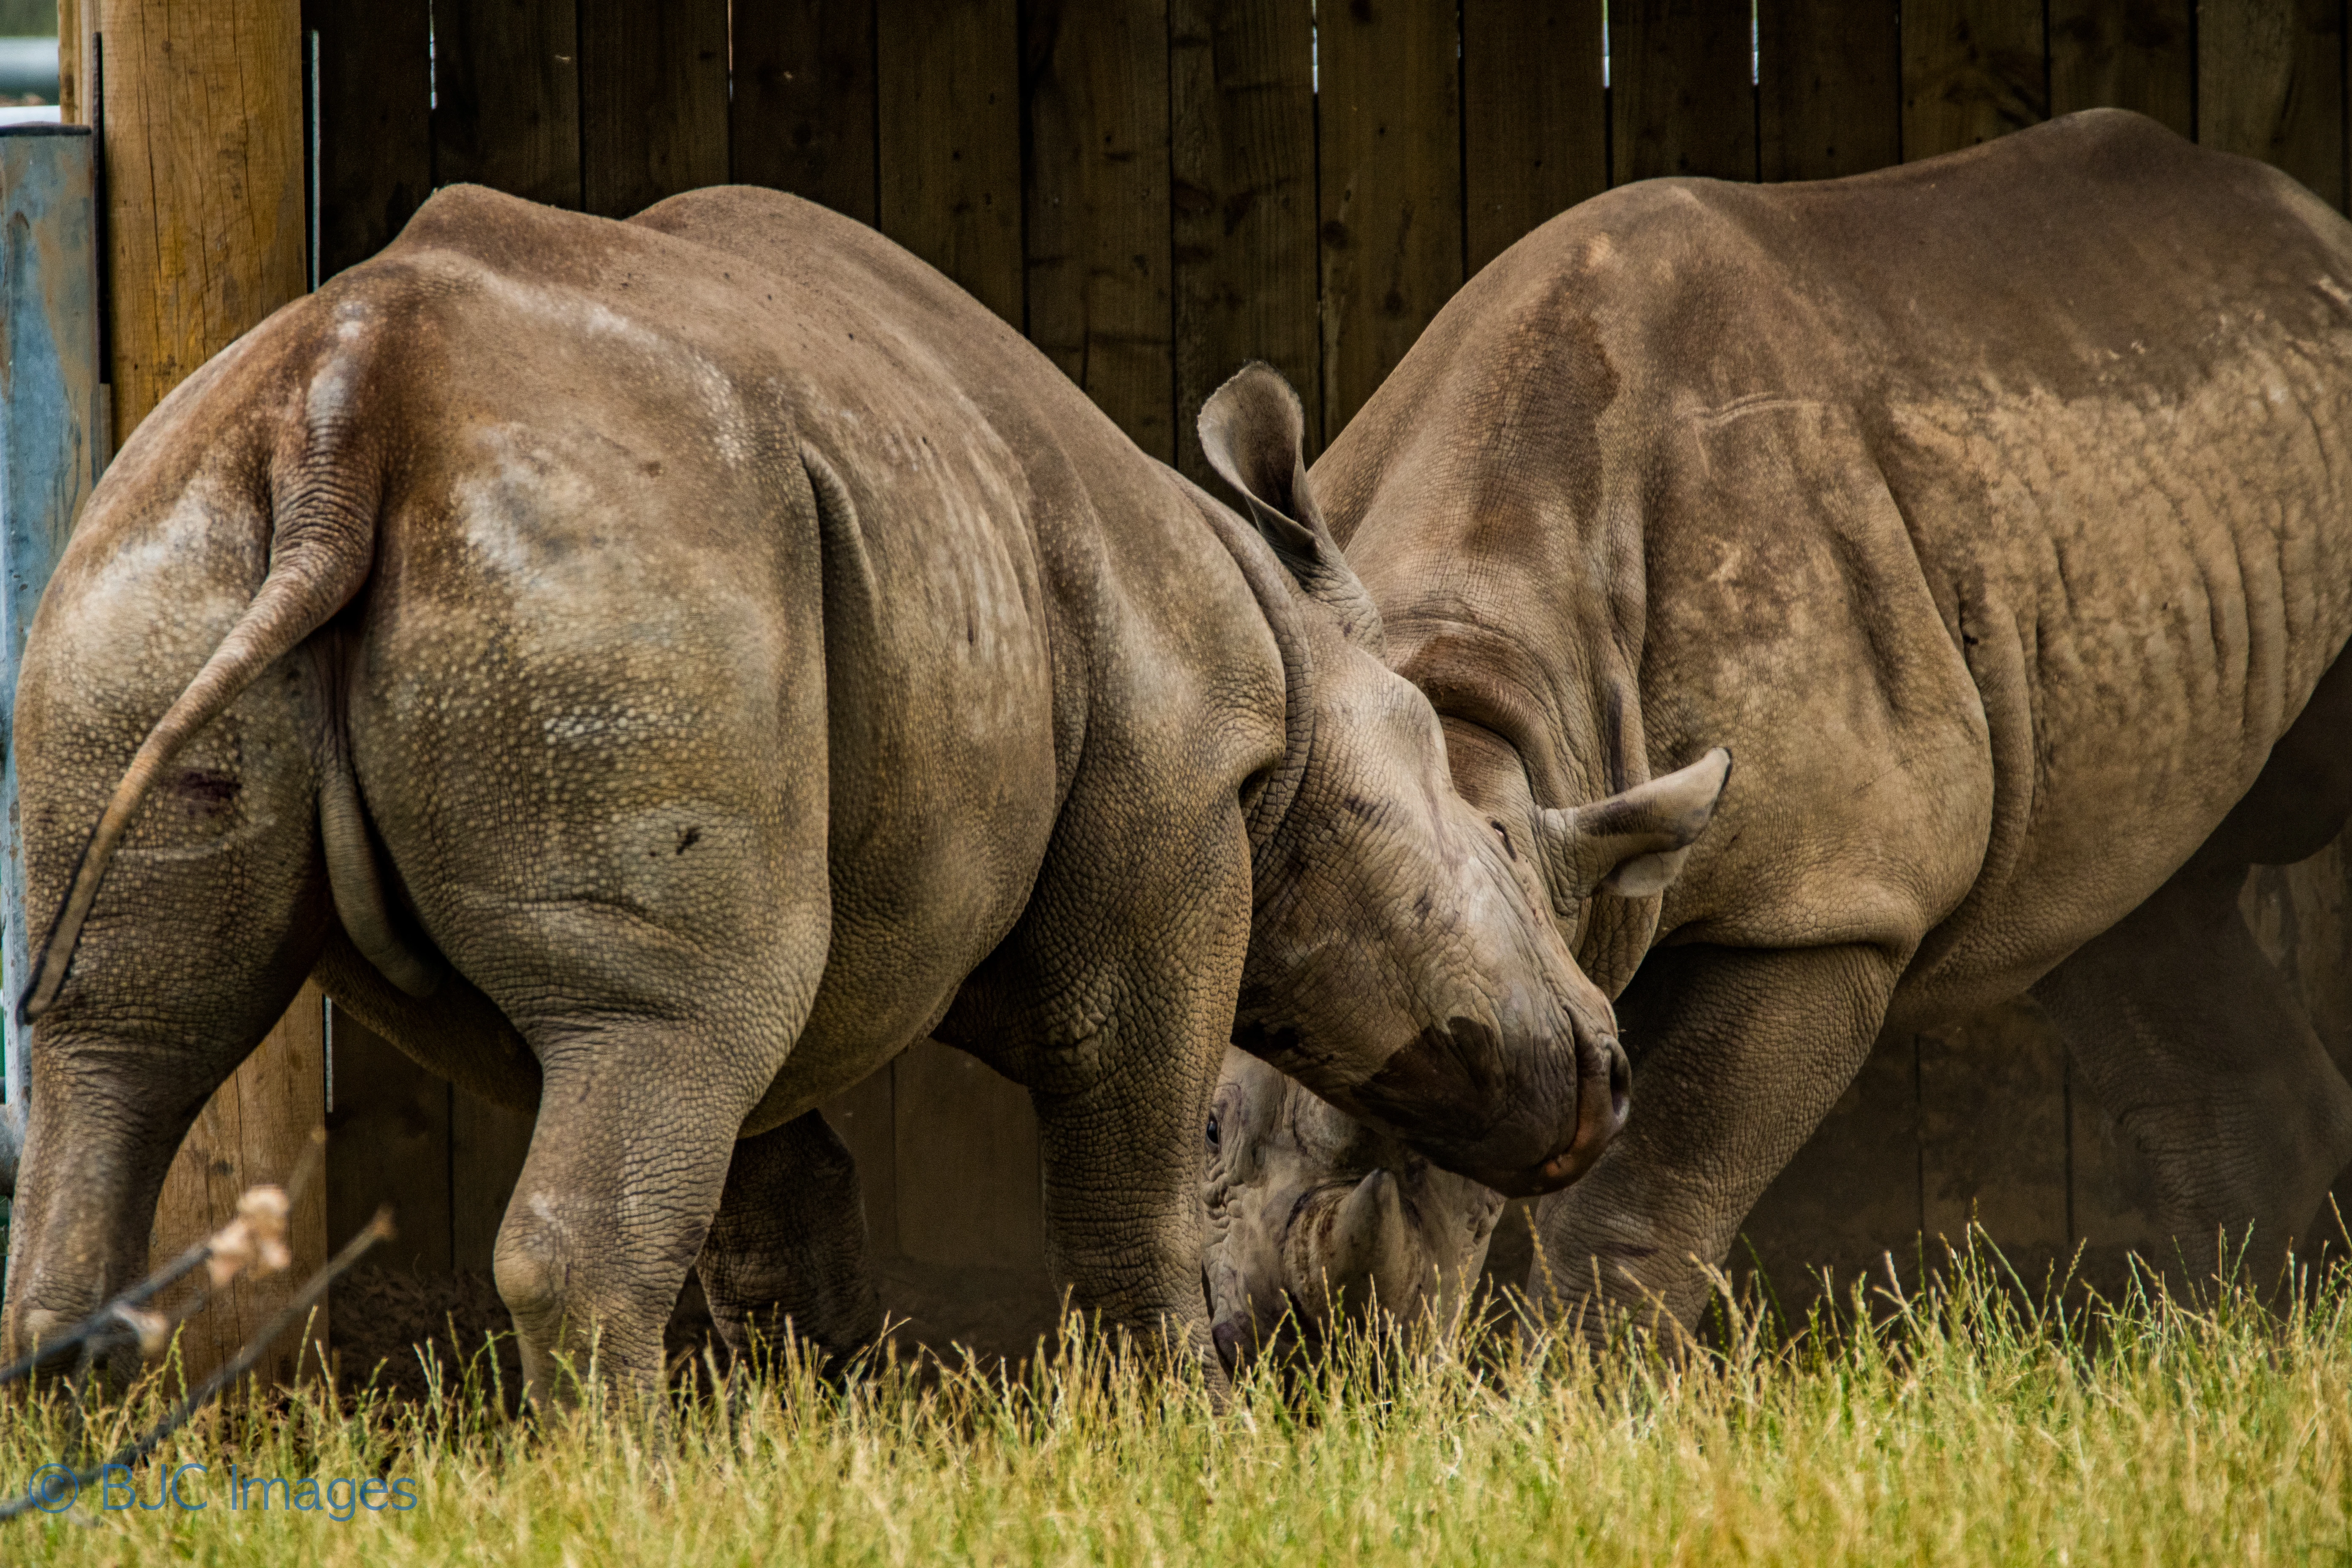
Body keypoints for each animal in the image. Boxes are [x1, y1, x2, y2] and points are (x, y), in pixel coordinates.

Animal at [0, 187, 1712, 1401]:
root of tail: (349, 396)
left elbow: (773, 1177)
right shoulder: (1171, 803)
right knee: (660, 1031)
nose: (1606, 1076)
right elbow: (1138, 1160)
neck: (1299, 678)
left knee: (126, 1037)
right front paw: (1180, 1425)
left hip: (165, 536)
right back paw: (626, 1490)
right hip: (629, 566)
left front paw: (812, 1424)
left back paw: (90, 1442)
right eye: (1492, 850)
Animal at [1204, 110, 2352, 1354]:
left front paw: (1597, 1392)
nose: (1299, 1353)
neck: (1482, 672)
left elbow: (1642, 1194)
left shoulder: (1823, 904)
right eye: (1206, 1129)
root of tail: (2308, 217)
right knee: (2132, 902)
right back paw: (2224, 1343)